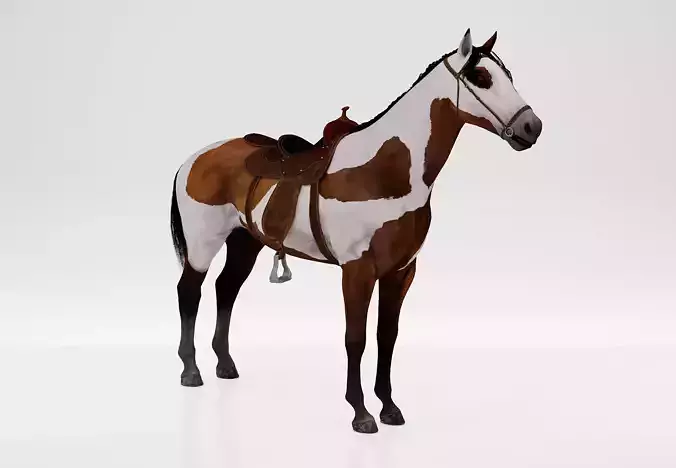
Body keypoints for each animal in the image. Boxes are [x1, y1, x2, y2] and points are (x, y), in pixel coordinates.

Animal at [169, 28, 543, 434]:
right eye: (481, 77)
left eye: (508, 75)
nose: (532, 127)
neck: (385, 170)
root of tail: (193, 160)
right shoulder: (357, 269)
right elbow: (356, 339)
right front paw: (361, 412)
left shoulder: (400, 271)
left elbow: (386, 335)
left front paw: (389, 407)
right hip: (203, 244)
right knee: (190, 292)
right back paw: (190, 371)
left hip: (244, 242)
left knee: (226, 289)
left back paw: (225, 365)